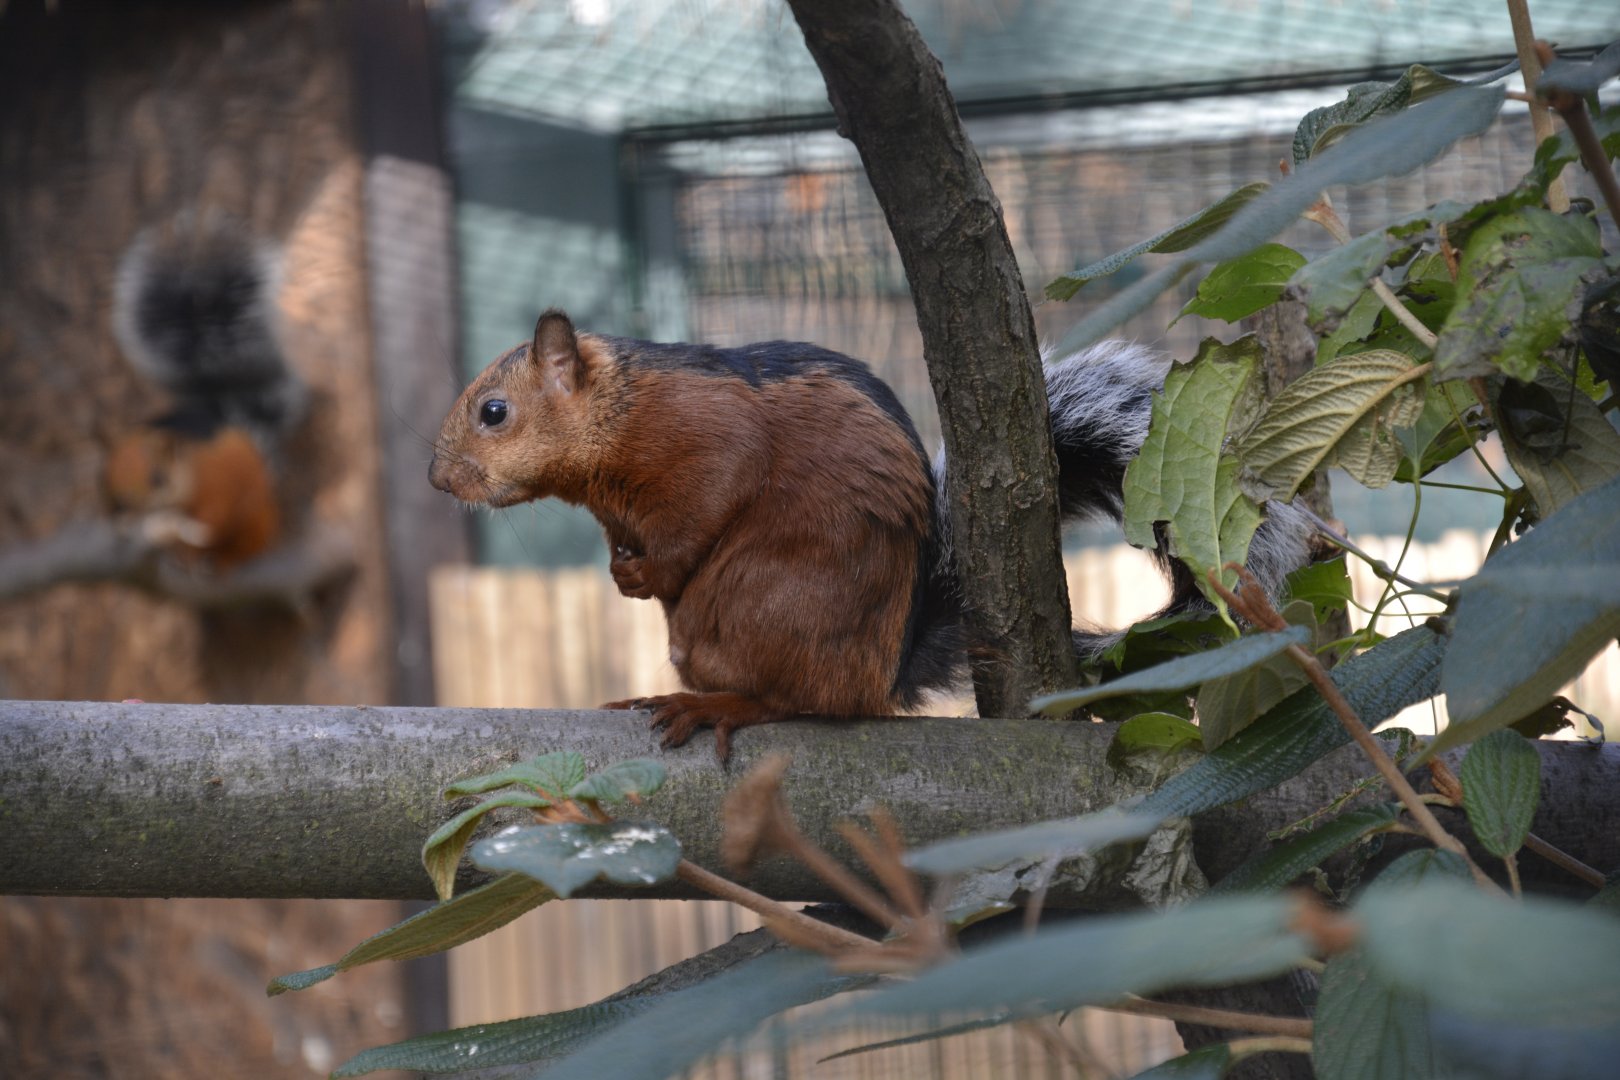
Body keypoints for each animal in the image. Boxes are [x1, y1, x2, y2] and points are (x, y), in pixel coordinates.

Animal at [429, 310, 1311, 759]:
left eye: (494, 412)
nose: (438, 480)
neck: (621, 417)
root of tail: (889, 666)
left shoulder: (710, 441)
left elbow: (706, 511)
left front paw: (652, 574)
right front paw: (623, 572)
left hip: (766, 606)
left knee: (802, 702)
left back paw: (719, 706)